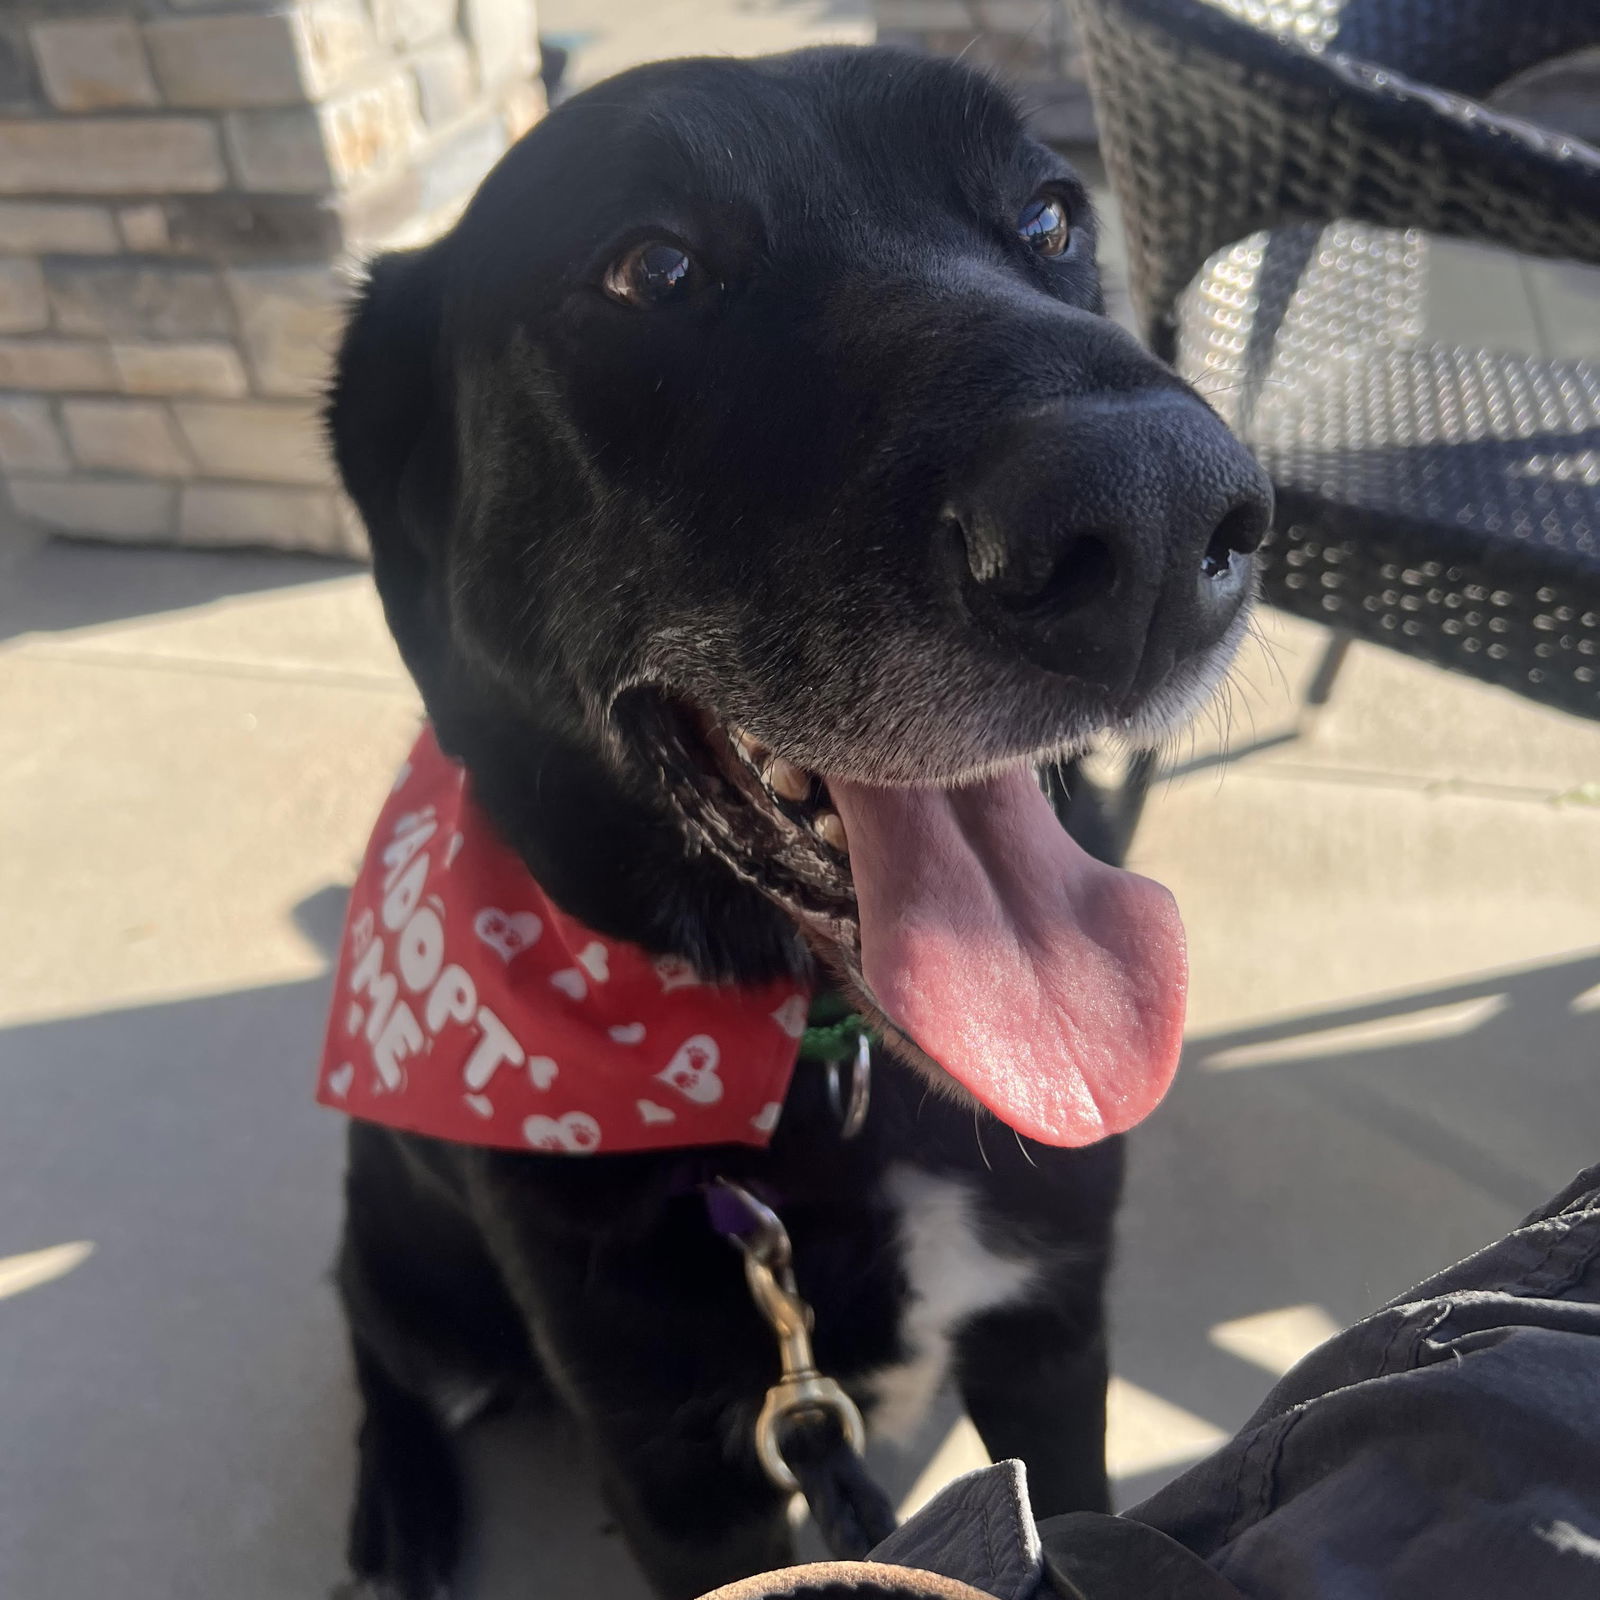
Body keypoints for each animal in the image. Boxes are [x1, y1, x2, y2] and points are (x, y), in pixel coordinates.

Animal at [328, 46, 1273, 1600]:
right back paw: (395, 1500)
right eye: (651, 267)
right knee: (371, 1338)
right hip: (418, 1279)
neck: (832, 1076)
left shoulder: (1053, 1343)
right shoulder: (682, 1479)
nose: (1152, 518)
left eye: (1052, 216)